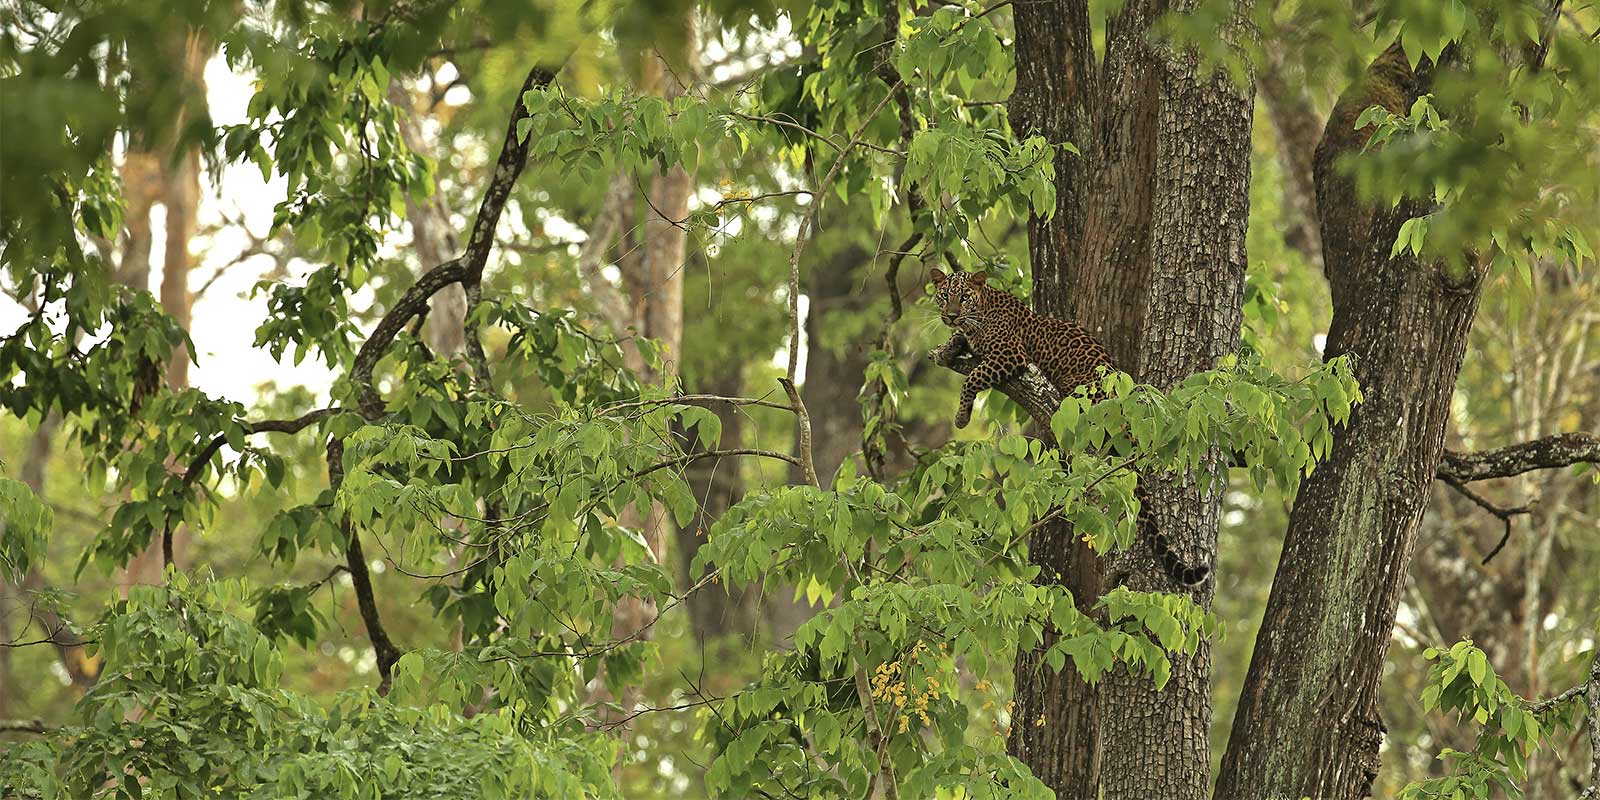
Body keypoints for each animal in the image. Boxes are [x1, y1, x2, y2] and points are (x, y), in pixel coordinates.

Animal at [926, 266, 1210, 586]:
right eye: (944, 296)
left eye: (964, 297)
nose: (951, 315)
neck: (983, 311)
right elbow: (959, 341)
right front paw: (948, 348)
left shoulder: (1011, 354)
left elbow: (972, 377)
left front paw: (961, 416)